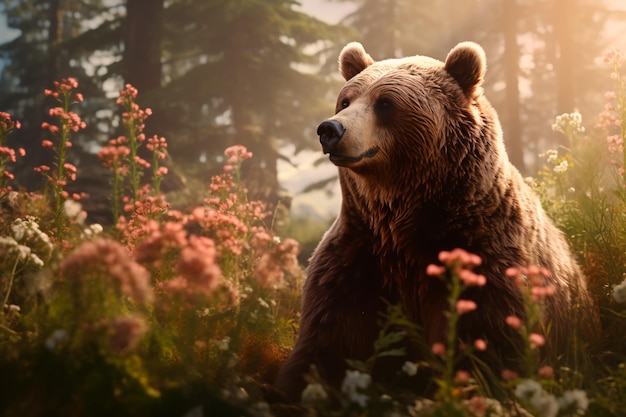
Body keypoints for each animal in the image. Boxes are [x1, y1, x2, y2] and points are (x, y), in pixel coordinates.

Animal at [270, 41, 592, 400]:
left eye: (385, 103)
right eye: (346, 100)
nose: (330, 129)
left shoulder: (485, 260)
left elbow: (489, 342)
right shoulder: (356, 259)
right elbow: (328, 339)